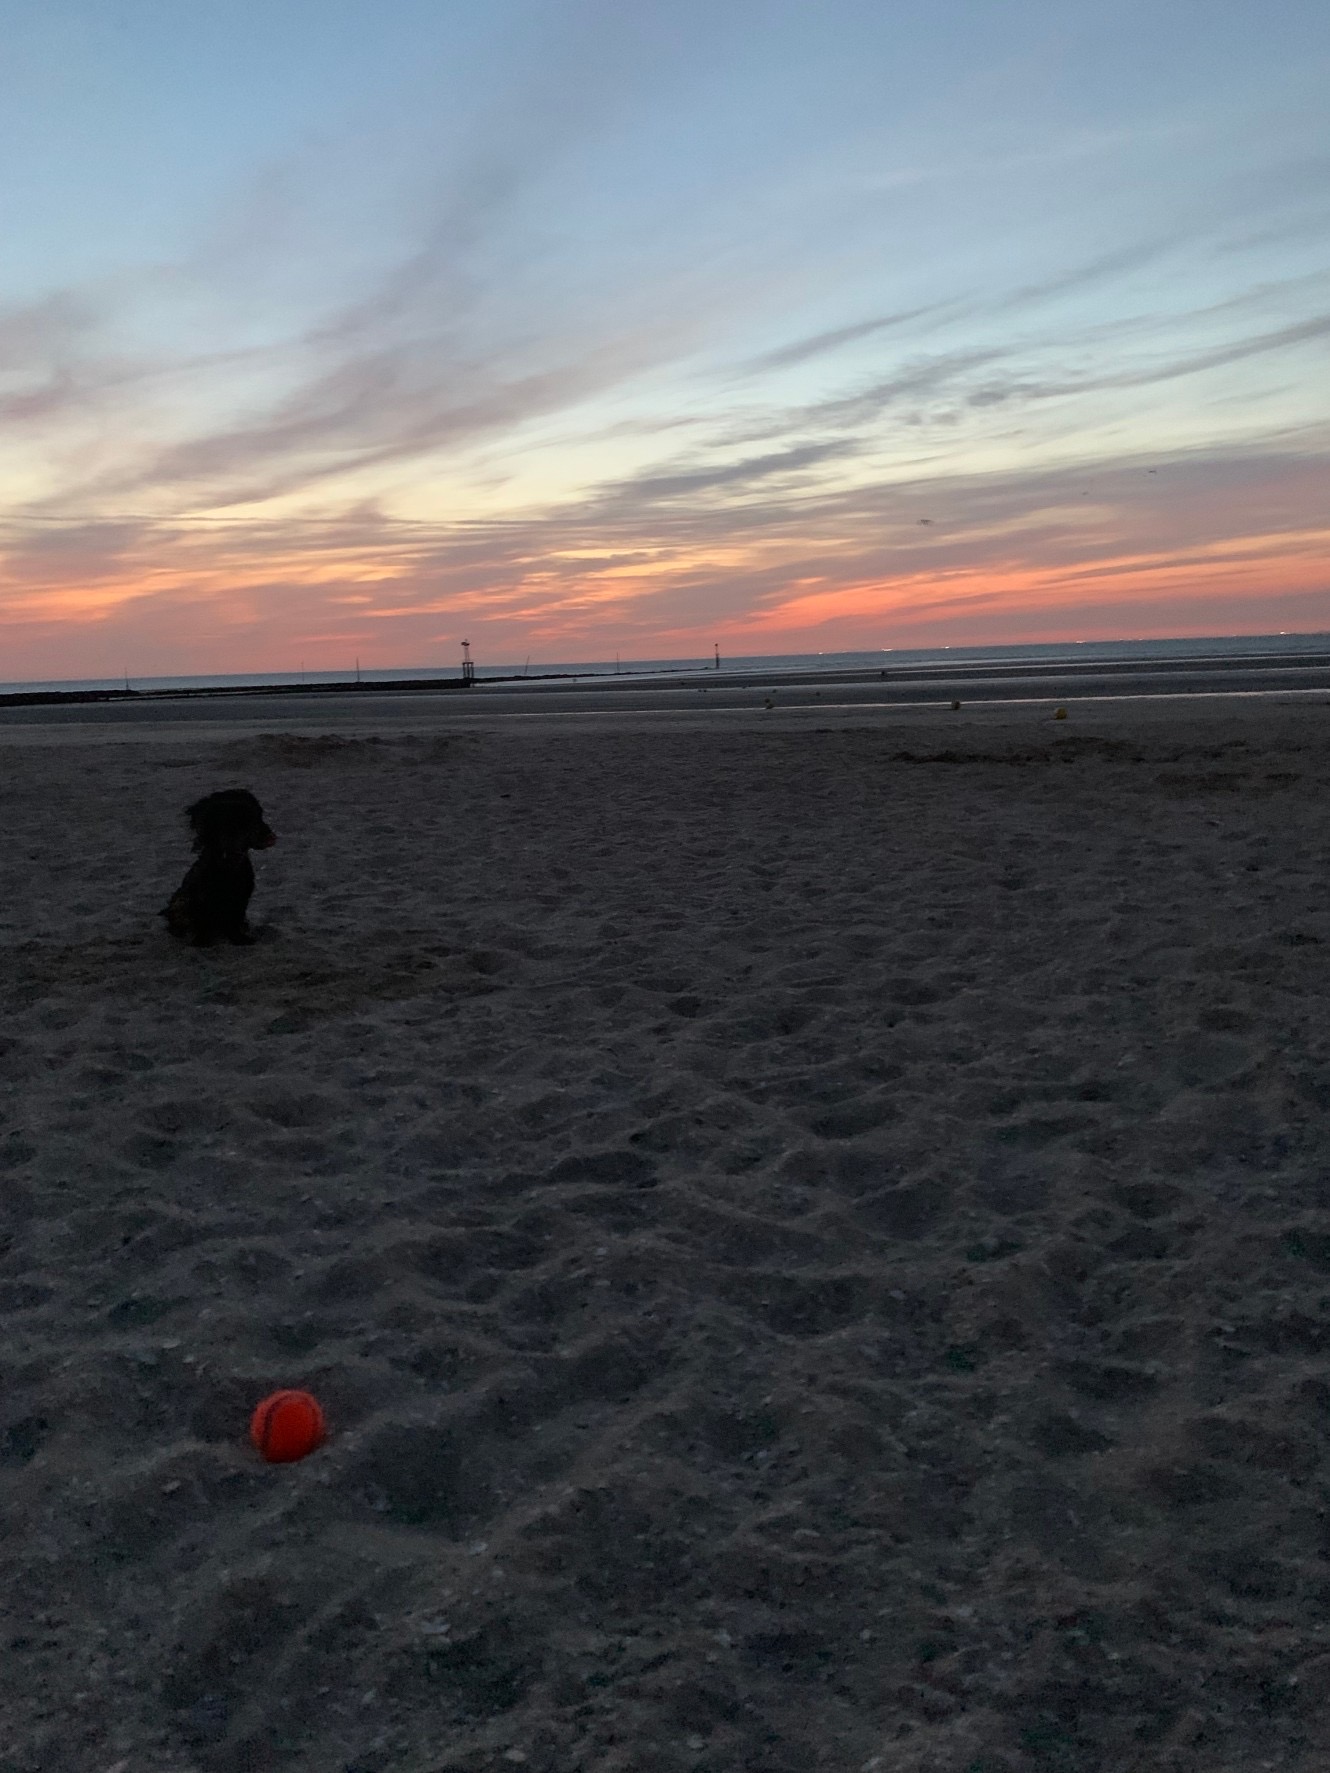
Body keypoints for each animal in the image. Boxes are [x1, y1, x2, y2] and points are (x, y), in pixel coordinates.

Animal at [161, 794, 276, 950]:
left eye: (259, 816)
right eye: (246, 821)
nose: (270, 835)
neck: (228, 864)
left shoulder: (240, 899)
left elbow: (234, 922)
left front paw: (240, 939)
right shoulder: (201, 900)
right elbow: (202, 923)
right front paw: (201, 942)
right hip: (181, 901)